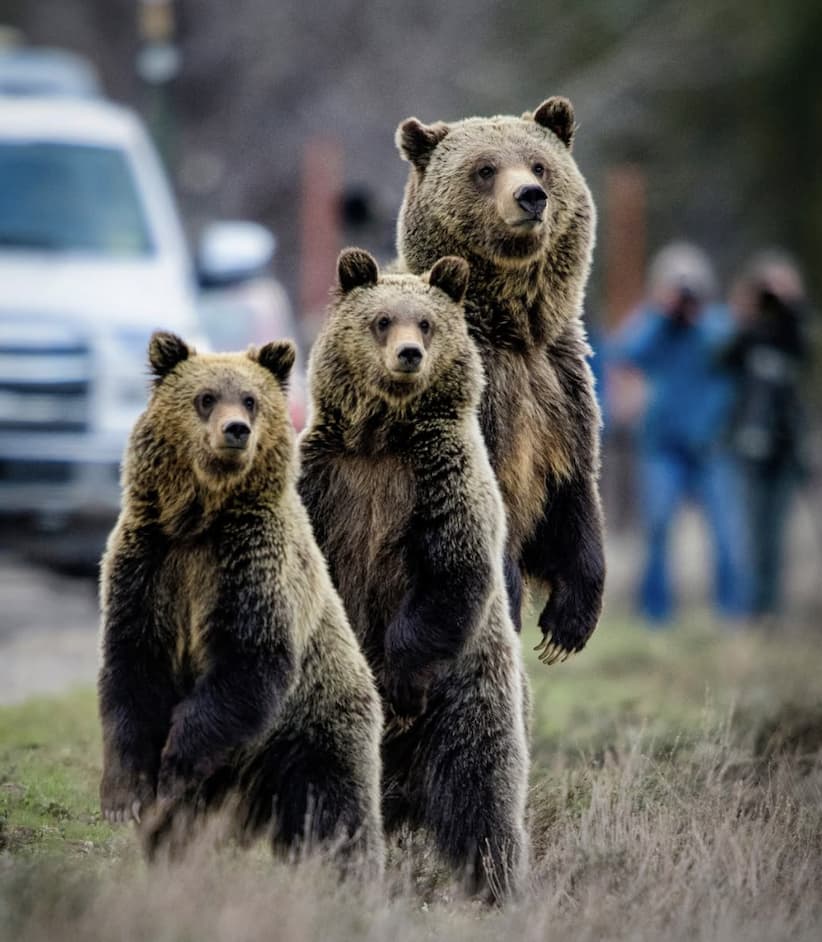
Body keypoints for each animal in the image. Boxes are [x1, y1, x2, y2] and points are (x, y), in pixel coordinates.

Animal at [97, 331, 384, 875]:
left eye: (251, 399)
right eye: (206, 397)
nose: (236, 430)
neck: (200, 521)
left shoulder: (251, 568)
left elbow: (248, 664)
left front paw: (174, 764)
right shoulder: (148, 565)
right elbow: (130, 670)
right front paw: (126, 793)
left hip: (313, 733)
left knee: (333, 813)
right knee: (185, 828)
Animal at [297, 248, 530, 902]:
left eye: (425, 323)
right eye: (382, 320)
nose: (408, 354)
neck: (382, 438)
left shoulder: (441, 479)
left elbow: (453, 573)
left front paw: (399, 675)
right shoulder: (327, 480)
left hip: (467, 699)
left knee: (481, 797)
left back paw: (498, 888)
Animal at [394, 96, 605, 662]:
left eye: (539, 164)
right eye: (485, 169)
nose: (531, 196)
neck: (514, 331)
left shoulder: (561, 390)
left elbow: (574, 497)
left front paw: (566, 625)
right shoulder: (484, 406)